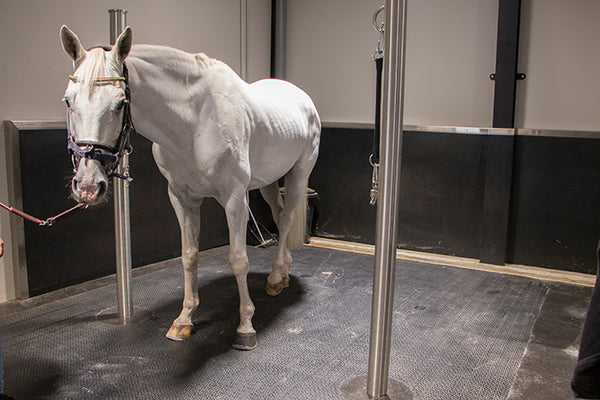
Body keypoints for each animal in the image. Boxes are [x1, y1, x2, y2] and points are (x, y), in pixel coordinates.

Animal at [60, 26, 322, 348]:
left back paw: (274, 277)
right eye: (68, 100)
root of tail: (301, 96)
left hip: (298, 174)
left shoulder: (235, 199)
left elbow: (238, 259)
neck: (195, 122)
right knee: (278, 212)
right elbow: (188, 256)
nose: (87, 186)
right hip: (269, 181)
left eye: (121, 103)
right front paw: (184, 319)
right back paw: (281, 274)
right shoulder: (181, 197)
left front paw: (245, 326)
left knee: (285, 220)